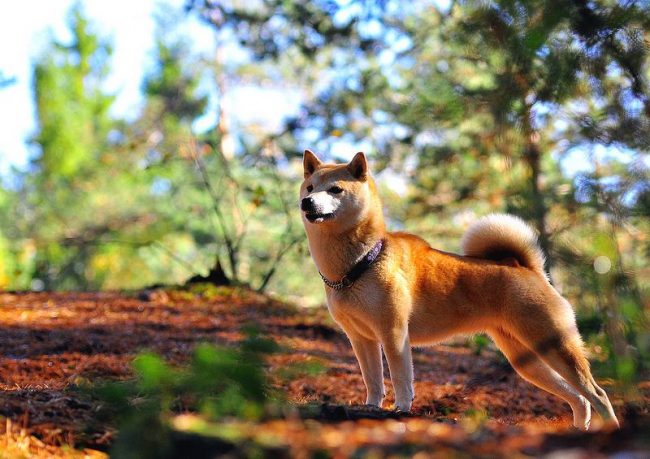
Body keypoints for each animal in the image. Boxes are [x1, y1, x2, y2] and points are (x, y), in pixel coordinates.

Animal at [298, 150, 616, 432]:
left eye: (336, 189)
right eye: (310, 187)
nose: (306, 202)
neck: (362, 262)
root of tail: (527, 267)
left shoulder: (393, 332)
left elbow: (401, 378)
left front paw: (401, 410)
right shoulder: (361, 338)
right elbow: (373, 381)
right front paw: (371, 408)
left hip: (555, 344)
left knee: (598, 394)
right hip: (526, 360)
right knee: (579, 399)